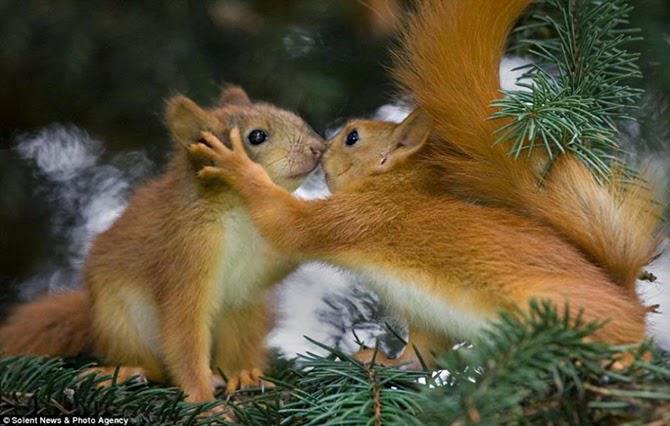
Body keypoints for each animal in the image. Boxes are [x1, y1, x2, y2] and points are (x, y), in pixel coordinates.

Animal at [0, 87, 326, 402]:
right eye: (256, 136)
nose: (319, 148)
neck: (242, 212)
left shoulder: (255, 272)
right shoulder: (186, 253)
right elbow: (185, 332)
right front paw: (203, 401)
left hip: (250, 311)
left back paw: (243, 374)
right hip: (119, 319)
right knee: (155, 366)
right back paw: (128, 372)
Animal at [188, 0, 668, 366]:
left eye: (353, 137)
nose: (321, 149)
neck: (394, 189)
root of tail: (626, 300)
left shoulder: (356, 217)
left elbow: (289, 224)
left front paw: (237, 165)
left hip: (565, 310)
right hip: (429, 315)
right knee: (421, 355)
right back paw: (384, 361)